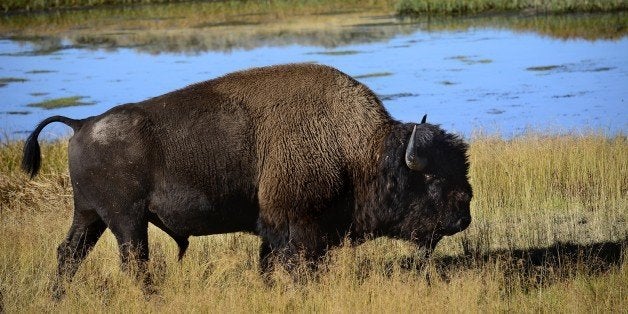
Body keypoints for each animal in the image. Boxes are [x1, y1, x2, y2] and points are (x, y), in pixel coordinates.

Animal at [23, 63, 472, 296]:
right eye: (432, 177)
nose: (463, 216)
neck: (360, 149)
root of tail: (82, 123)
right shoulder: (298, 227)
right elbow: (298, 264)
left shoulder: (274, 228)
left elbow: (269, 262)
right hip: (125, 220)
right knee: (134, 261)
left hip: (90, 216)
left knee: (69, 253)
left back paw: (58, 296)